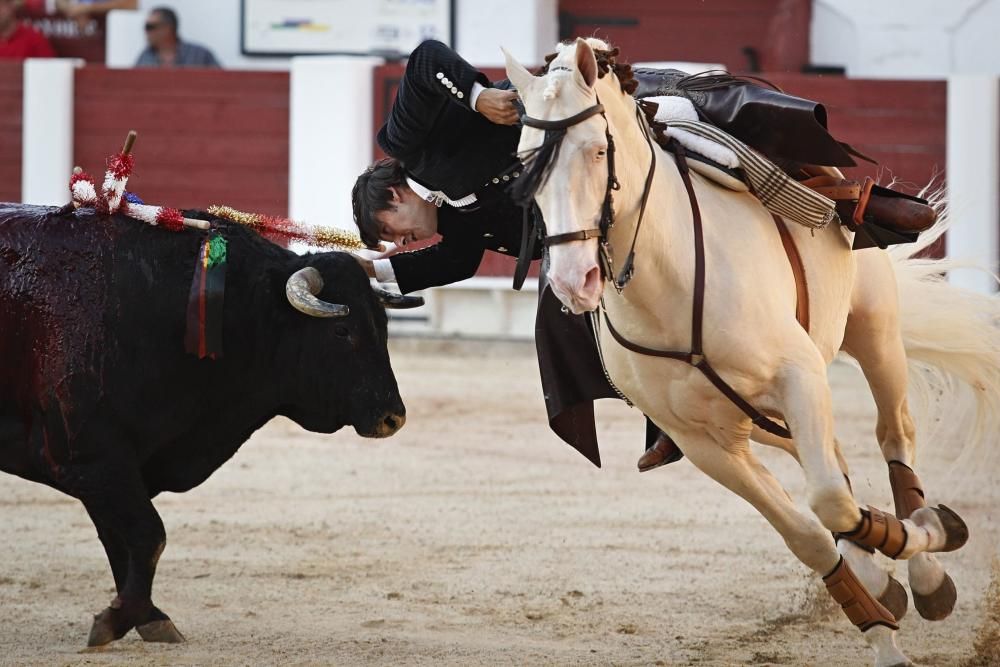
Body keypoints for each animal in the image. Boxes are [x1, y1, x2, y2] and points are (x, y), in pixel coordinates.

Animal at [0, 205, 414, 648]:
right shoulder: (91, 457)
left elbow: (122, 541)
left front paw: (145, 617)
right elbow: (147, 535)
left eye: (383, 326)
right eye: (341, 330)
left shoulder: (113, 467)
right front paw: (119, 620)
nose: (393, 417)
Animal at [508, 37, 1000, 667]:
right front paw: (879, 620)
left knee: (894, 437)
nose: (574, 280)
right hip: (758, 417)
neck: (669, 279)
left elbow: (830, 501)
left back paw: (929, 571)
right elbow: (809, 532)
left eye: (597, 151)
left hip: (873, 331)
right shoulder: (704, 441)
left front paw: (930, 538)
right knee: (834, 464)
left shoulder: (798, 377)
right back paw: (884, 577)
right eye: (525, 163)